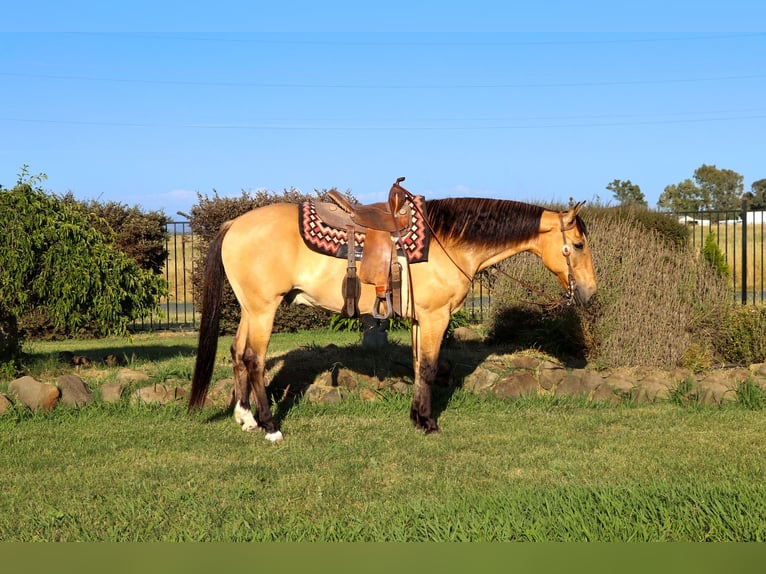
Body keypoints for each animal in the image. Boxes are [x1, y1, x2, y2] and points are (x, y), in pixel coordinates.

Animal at [188, 190, 597, 442]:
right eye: (578, 245)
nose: (590, 292)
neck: (448, 242)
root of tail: (234, 224)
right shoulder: (435, 317)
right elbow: (429, 368)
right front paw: (429, 423)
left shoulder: (421, 320)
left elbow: (417, 366)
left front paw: (416, 417)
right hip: (264, 309)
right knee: (254, 360)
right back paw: (270, 426)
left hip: (251, 309)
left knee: (237, 354)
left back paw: (245, 418)